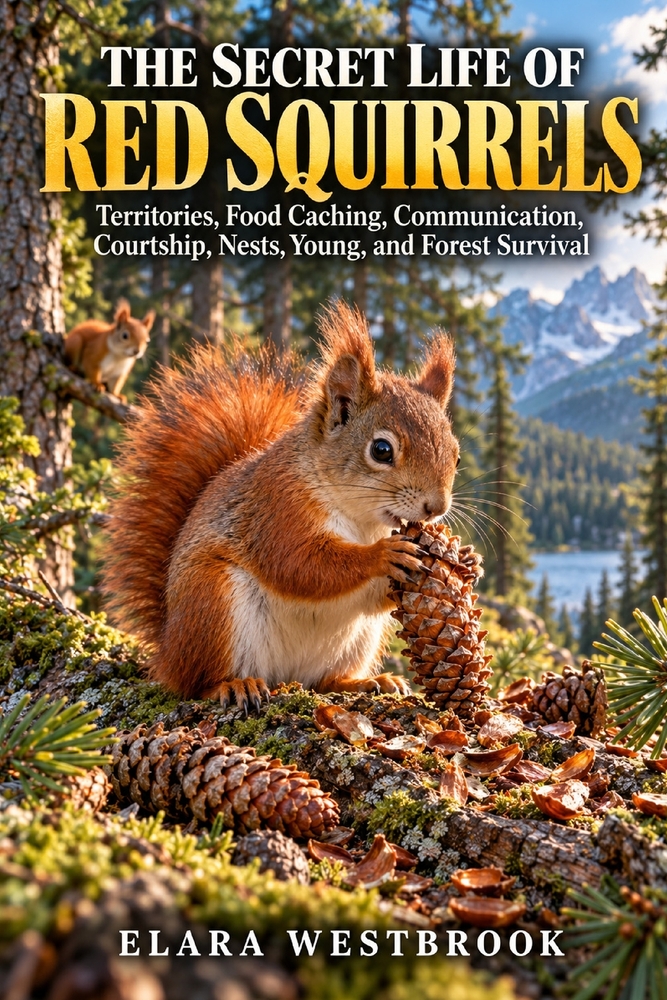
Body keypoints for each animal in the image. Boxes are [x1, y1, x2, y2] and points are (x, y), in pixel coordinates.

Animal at [101, 302, 460, 711]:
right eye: (381, 450)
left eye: (455, 454)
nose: (436, 507)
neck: (362, 521)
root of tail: (167, 651)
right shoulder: (276, 509)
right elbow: (300, 565)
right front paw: (383, 555)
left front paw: (463, 564)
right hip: (212, 603)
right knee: (197, 682)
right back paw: (232, 685)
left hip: (358, 640)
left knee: (324, 681)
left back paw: (368, 682)